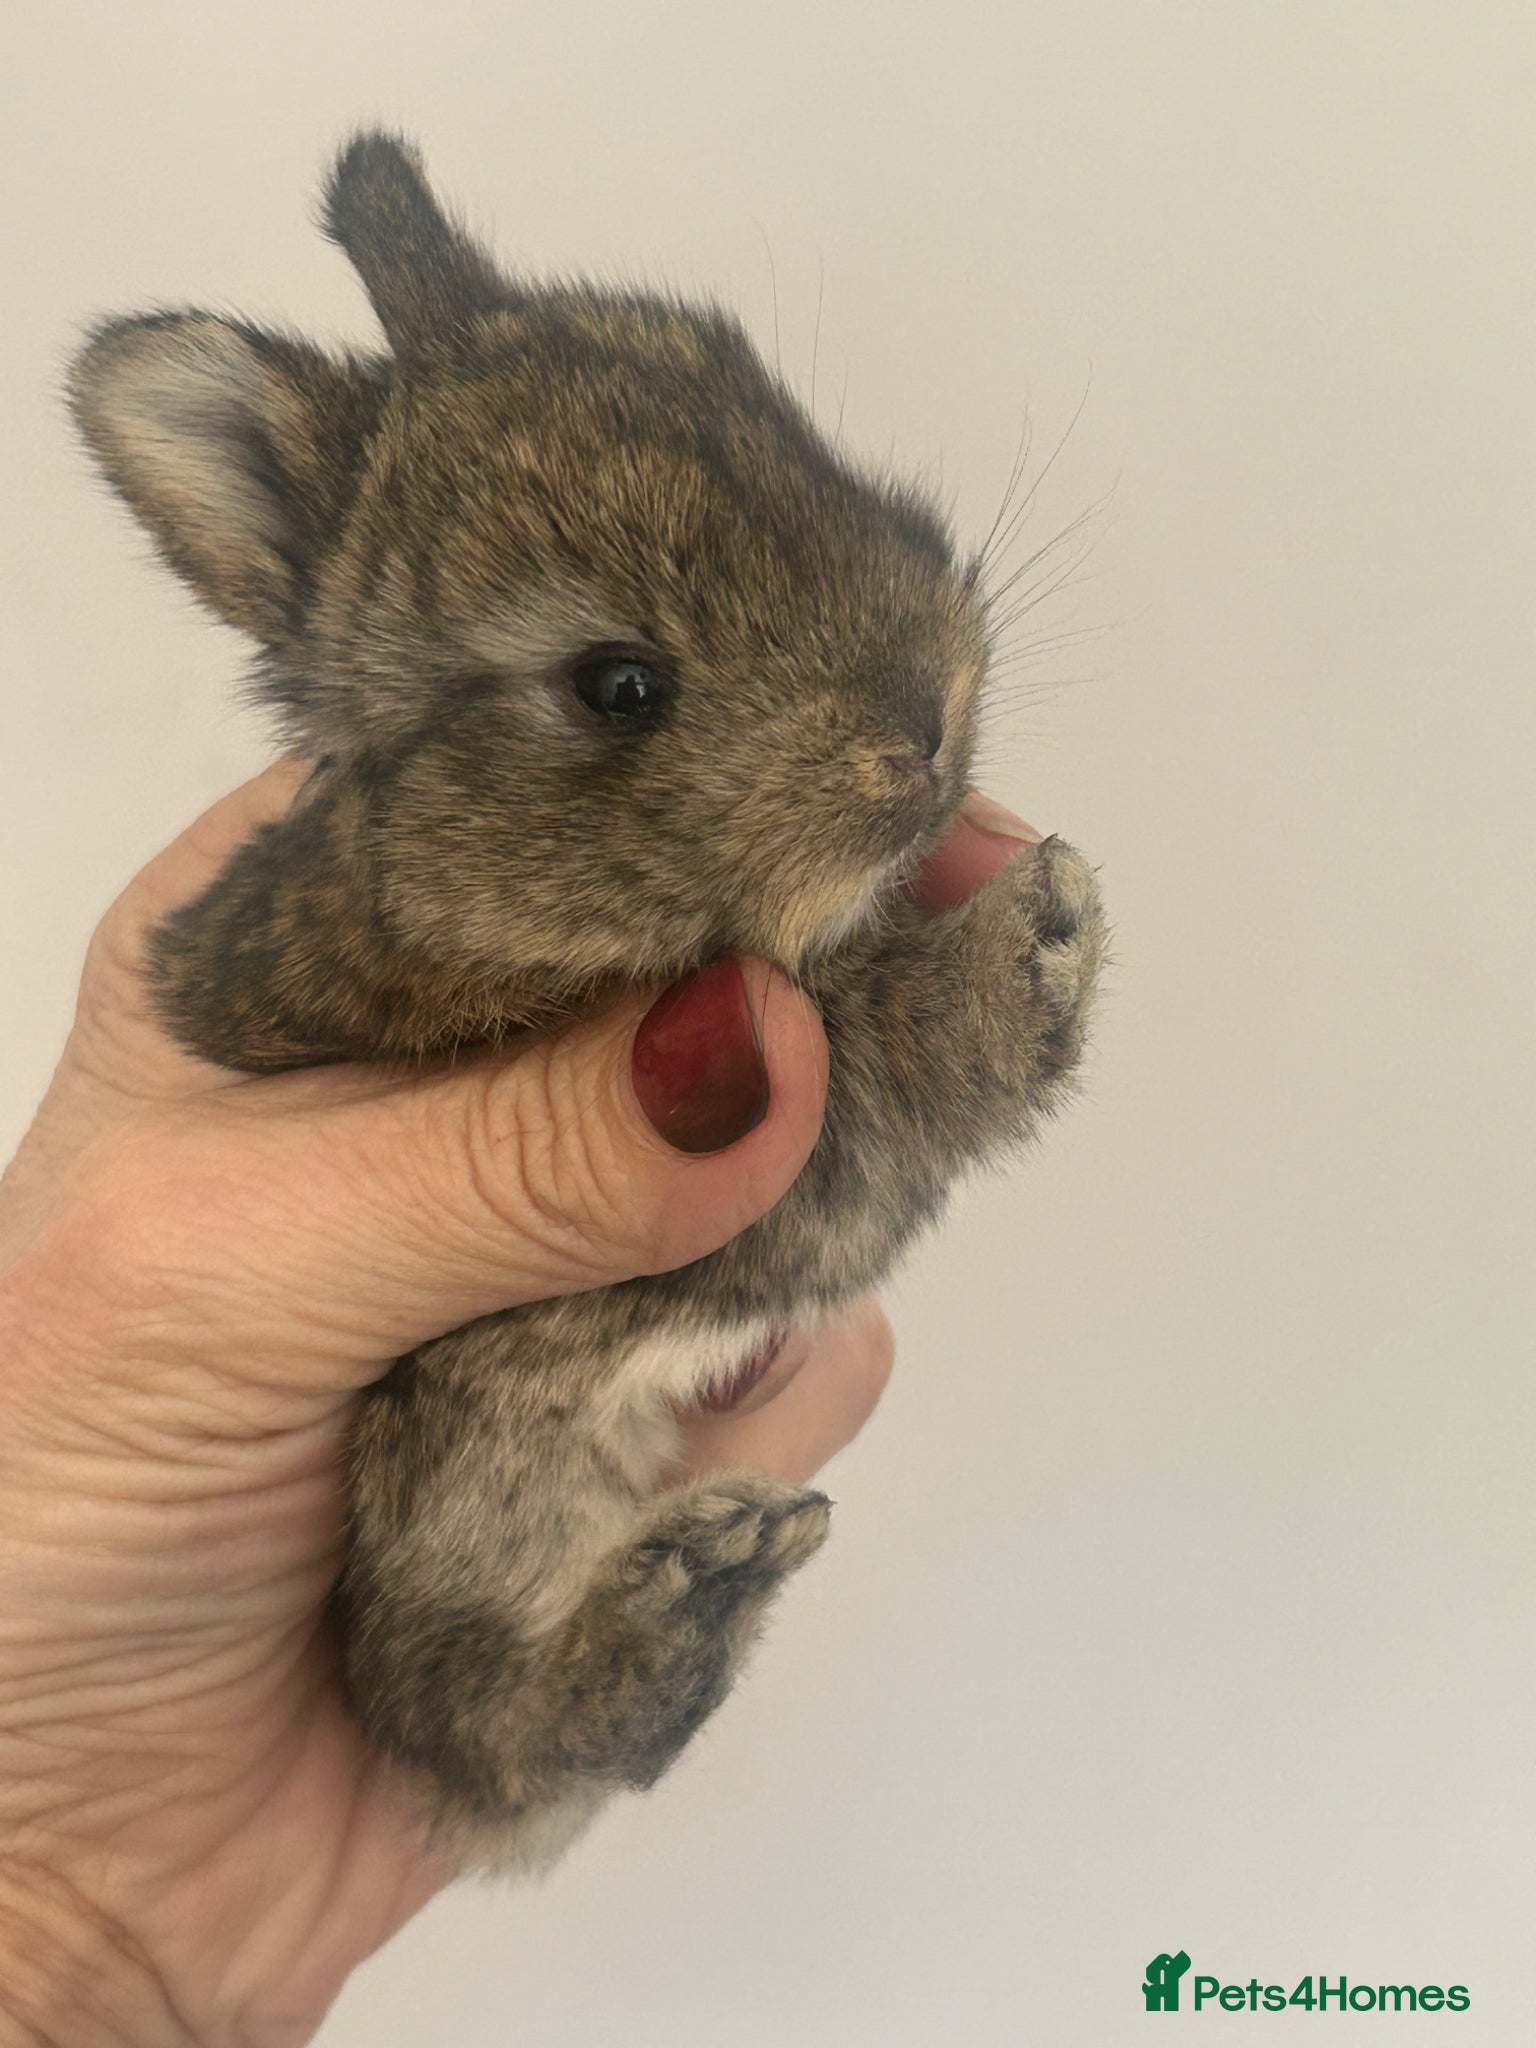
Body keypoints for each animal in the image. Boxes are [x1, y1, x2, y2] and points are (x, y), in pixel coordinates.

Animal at [66, 131, 1106, 1868]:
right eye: (617, 687)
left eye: (790, 432)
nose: (923, 727)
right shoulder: (764, 1175)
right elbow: (889, 1073)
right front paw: (1042, 929)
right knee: (495, 1718)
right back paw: (691, 1592)